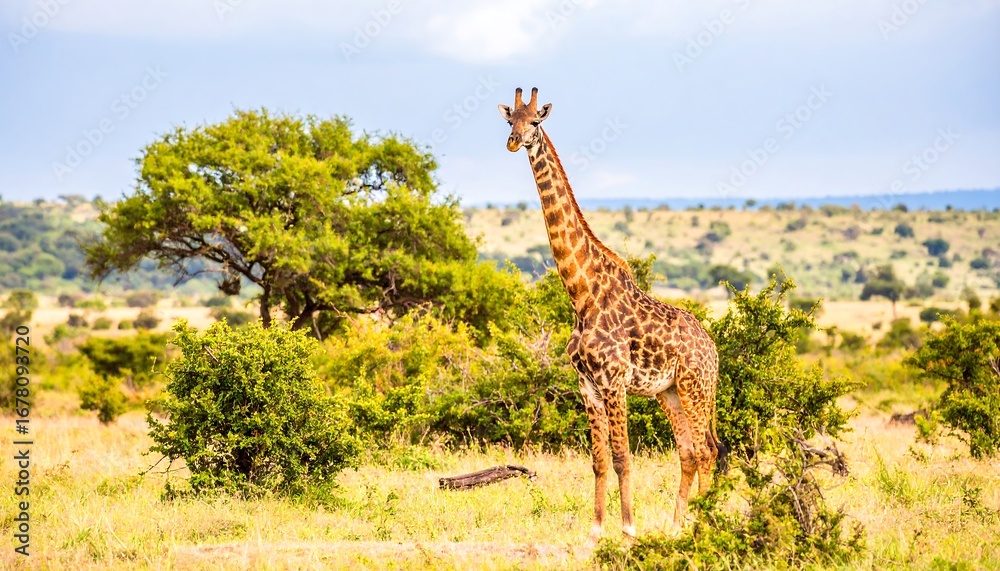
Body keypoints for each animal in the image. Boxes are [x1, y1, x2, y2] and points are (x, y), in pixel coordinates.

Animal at [498, 88, 727, 541]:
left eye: (536, 121)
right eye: (509, 119)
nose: (514, 142)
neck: (581, 295)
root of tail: (712, 349)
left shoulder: (614, 381)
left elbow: (623, 457)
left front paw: (628, 529)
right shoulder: (587, 385)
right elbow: (599, 460)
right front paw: (596, 529)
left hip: (695, 387)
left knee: (708, 450)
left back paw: (705, 526)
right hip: (668, 392)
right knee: (689, 452)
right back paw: (677, 525)